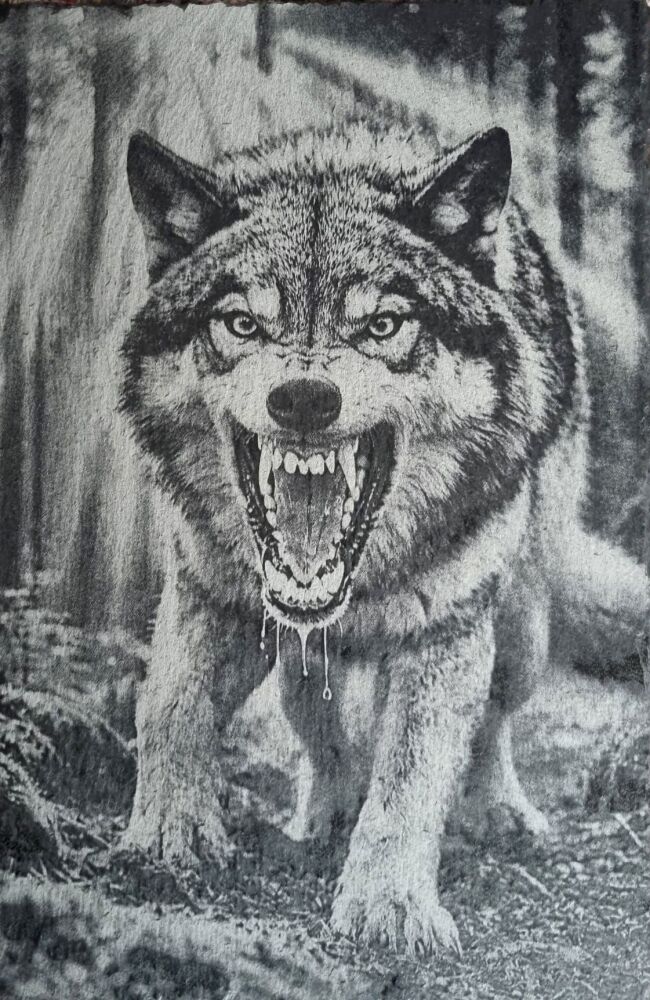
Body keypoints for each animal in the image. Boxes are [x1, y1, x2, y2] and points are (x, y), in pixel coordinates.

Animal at [120, 120, 647, 955]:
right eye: (242, 323)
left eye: (382, 325)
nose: (305, 398)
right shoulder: (211, 595)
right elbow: (170, 706)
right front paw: (167, 835)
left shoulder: (446, 632)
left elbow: (412, 772)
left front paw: (389, 904)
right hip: (297, 649)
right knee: (312, 713)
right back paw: (327, 809)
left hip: (520, 626)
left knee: (492, 720)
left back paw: (495, 810)